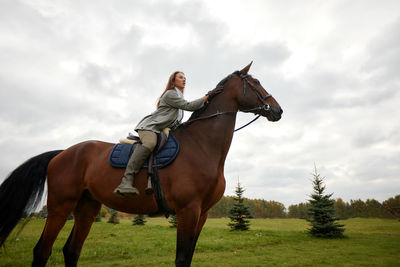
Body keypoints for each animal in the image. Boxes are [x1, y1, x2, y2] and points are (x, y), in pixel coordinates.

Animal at [0, 62, 282, 266]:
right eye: (256, 82)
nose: (278, 110)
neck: (202, 146)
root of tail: (62, 153)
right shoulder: (188, 210)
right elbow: (181, 259)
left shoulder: (201, 214)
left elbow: (188, 257)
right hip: (60, 207)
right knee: (42, 251)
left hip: (87, 207)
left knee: (71, 250)